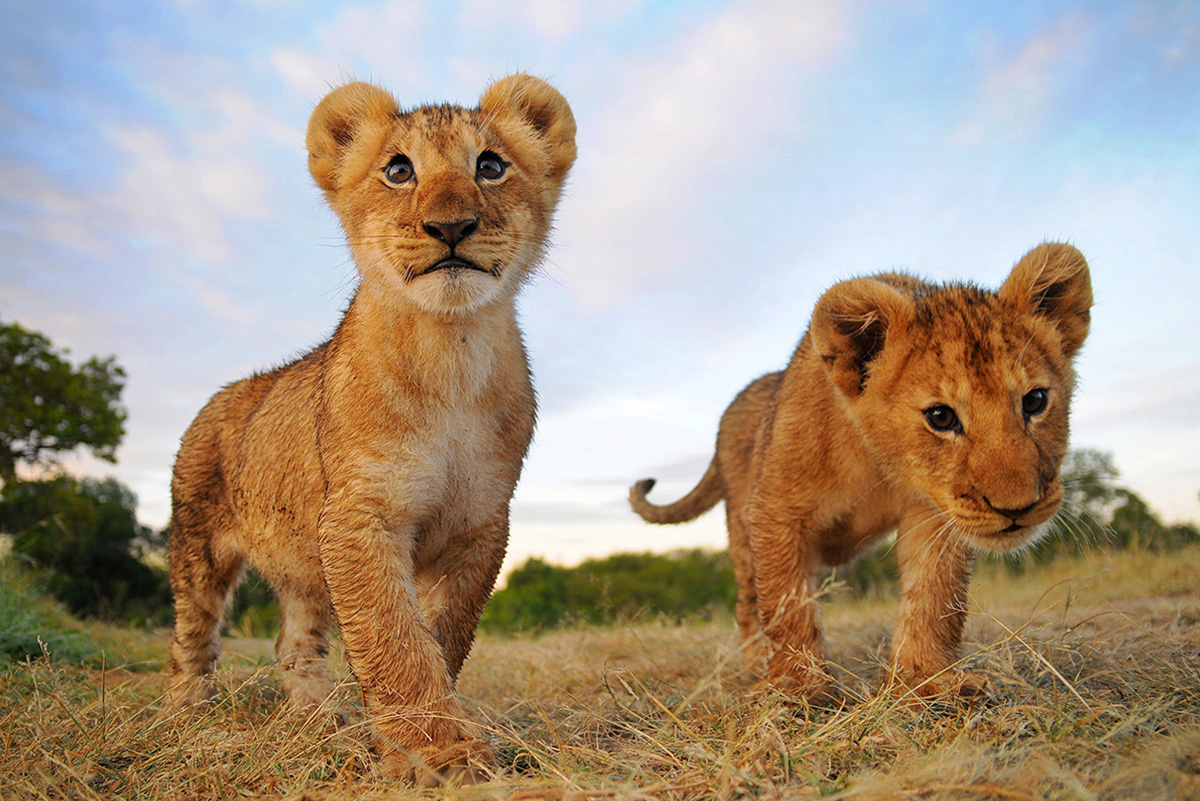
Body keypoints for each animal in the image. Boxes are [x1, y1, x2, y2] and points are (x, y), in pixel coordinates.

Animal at [166, 74, 576, 783]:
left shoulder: (480, 526)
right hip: (198, 546)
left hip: (303, 566)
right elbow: (394, 638)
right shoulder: (359, 516)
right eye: (399, 169)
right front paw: (439, 754)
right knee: (192, 633)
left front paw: (413, 740)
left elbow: (440, 636)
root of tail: (224, 393)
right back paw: (183, 715)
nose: (450, 226)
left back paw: (321, 720)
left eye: (490, 166)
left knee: (293, 642)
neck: (450, 355)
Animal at [630, 243, 1092, 700]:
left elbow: (935, 595)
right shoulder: (776, 510)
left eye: (1034, 401)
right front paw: (797, 685)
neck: (882, 462)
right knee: (749, 603)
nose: (1018, 508)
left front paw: (928, 678)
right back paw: (756, 667)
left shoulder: (934, 513)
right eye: (941, 417)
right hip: (741, 533)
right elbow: (786, 601)